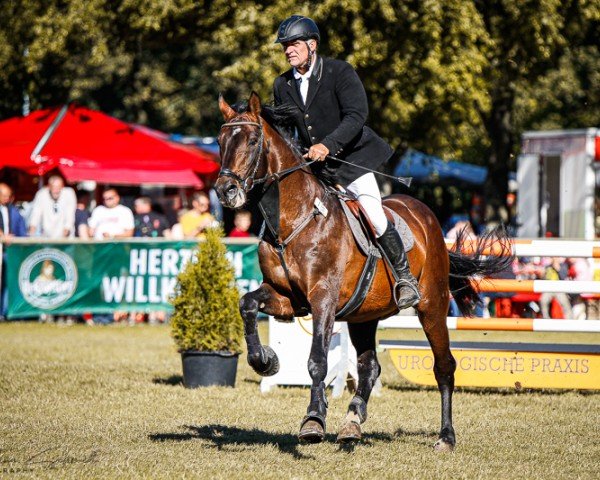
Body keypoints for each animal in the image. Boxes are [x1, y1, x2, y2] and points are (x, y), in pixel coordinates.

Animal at [216, 93, 510, 450]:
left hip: (432, 306)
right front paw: (265, 361)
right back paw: (352, 423)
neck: (293, 219)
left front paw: (313, 421)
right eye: (220, 141)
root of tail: (425, 214)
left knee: (444, 366)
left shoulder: (323, 300)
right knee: (369, 367)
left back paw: (446, 437)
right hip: (363, 316)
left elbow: (317, 360)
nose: (225, 191)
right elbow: (247, 304)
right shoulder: (285, 298)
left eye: (252, 141)